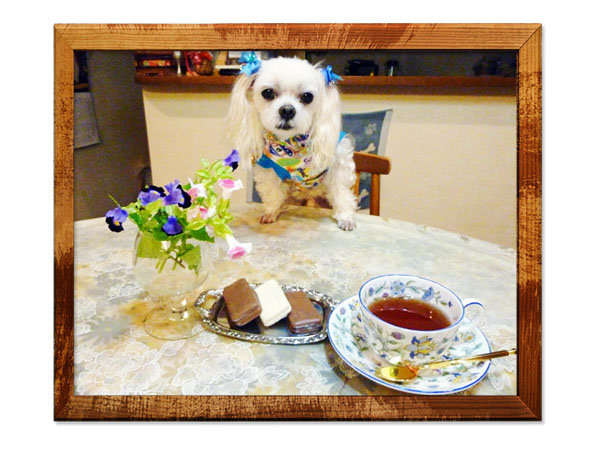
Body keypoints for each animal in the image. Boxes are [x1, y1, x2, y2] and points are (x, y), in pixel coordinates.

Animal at [225, 55, 356, 230]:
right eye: (268, 92)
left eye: (307, 96)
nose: (287, 110)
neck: (293, 143)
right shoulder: (267, 168)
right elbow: (272, 192)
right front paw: (271, 212)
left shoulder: (339, 161)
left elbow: (341, 192)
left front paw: (345, 217)